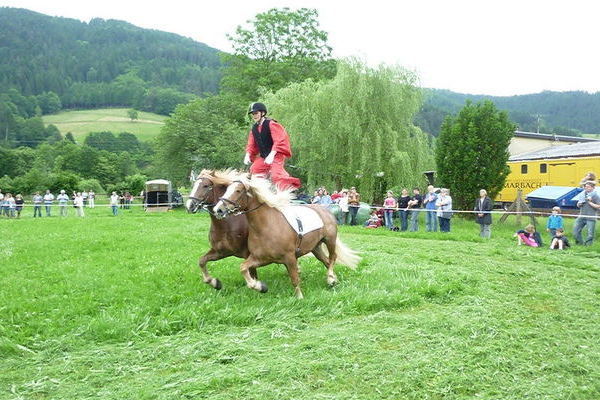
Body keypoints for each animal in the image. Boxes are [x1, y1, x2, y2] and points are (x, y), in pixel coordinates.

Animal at [213, 175, 358, 296]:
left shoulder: (290, 258)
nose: (217, 209)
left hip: (330, 240)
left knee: (333, 257)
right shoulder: (260, 258)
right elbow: (243, 267)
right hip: (315, 247)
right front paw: (257, 286)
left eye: (238, 191)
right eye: (226, 189)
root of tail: (326, 211)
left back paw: (330, 279)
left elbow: (294, 279)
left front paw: (299, 297)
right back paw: (333, 280)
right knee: (327, 261)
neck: (265, 227)